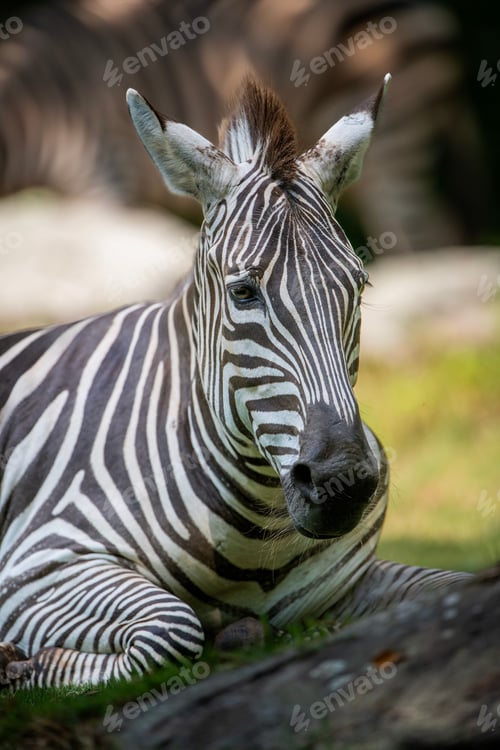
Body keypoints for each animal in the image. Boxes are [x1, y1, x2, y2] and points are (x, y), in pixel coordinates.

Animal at [0, 76, 471, 689]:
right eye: (243, 292)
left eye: (359, 286)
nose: (343, 483)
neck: (258, 530)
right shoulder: (38, 560)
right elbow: (170, 629)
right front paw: (29, 667)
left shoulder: (348, 582)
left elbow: (458, 588)